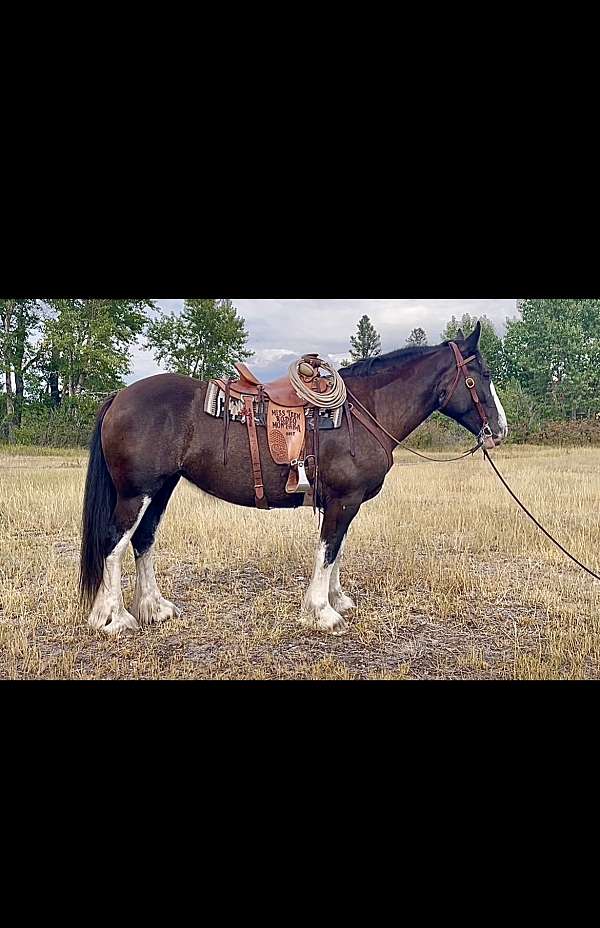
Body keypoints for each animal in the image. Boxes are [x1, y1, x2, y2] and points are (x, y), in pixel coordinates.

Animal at [79, 321, 508, 637]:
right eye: (482, 374)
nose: (500, 429)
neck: (362, 412)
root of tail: (120, 396)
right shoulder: (343, 500)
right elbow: (327, 551)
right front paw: (322, 612)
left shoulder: (343, 502)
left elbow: (337, 550)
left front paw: (336, 599)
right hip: (137, 493)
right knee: (114, 544)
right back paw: (114, 618)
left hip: (160, 489)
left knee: (143, 541)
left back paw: (154, 608)